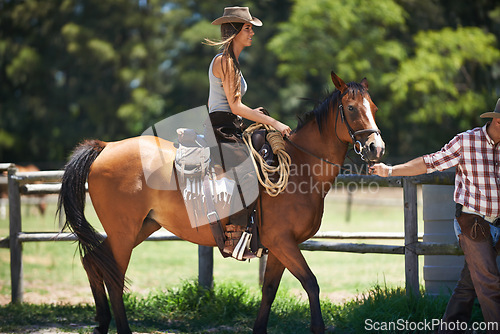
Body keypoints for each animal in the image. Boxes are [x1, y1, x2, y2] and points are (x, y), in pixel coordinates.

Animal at [58, 72, 386, 332]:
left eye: (373, 107)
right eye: (351, 108)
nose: (376, 148)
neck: (299, 167)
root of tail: (106, 147)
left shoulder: (280, 247)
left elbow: (269, 290)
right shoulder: (283, 242)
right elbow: (311, 284)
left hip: (141, 227)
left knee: (93, 262)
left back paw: (102, 322)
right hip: (123, 232)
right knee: (113, 275)